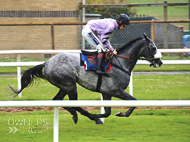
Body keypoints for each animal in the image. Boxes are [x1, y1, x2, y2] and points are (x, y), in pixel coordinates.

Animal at [8, 33, 163, 124]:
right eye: (153, 47)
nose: (160, 62)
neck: (121, 63)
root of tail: (47, 63)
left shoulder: (106, 92)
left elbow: (108, 112)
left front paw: (108, 115)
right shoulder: (116, 90)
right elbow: (134, 101)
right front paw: (121, 113)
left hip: (64, 86)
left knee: (57, 100)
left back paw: (77, 116)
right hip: (70, 85)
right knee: (74, 104)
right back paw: (89, 116)